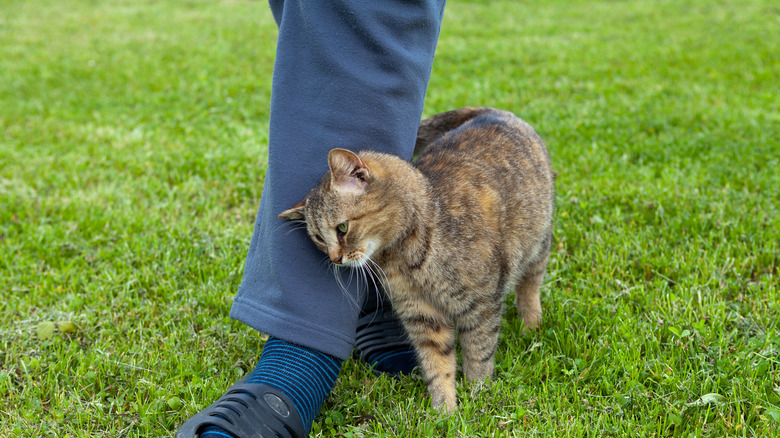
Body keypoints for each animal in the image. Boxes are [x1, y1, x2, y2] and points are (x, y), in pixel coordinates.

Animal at [278, 108, 556, 412]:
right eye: (318, 238)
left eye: (342, 228)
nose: (335, 258)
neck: (406, 259)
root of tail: (494, 111)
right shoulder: (422, 315)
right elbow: (437, 364)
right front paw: (444, 410)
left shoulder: (481, 307)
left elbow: (479, 354)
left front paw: (478, 394)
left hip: (538, 245)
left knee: (530, 286)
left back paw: (531, 325)